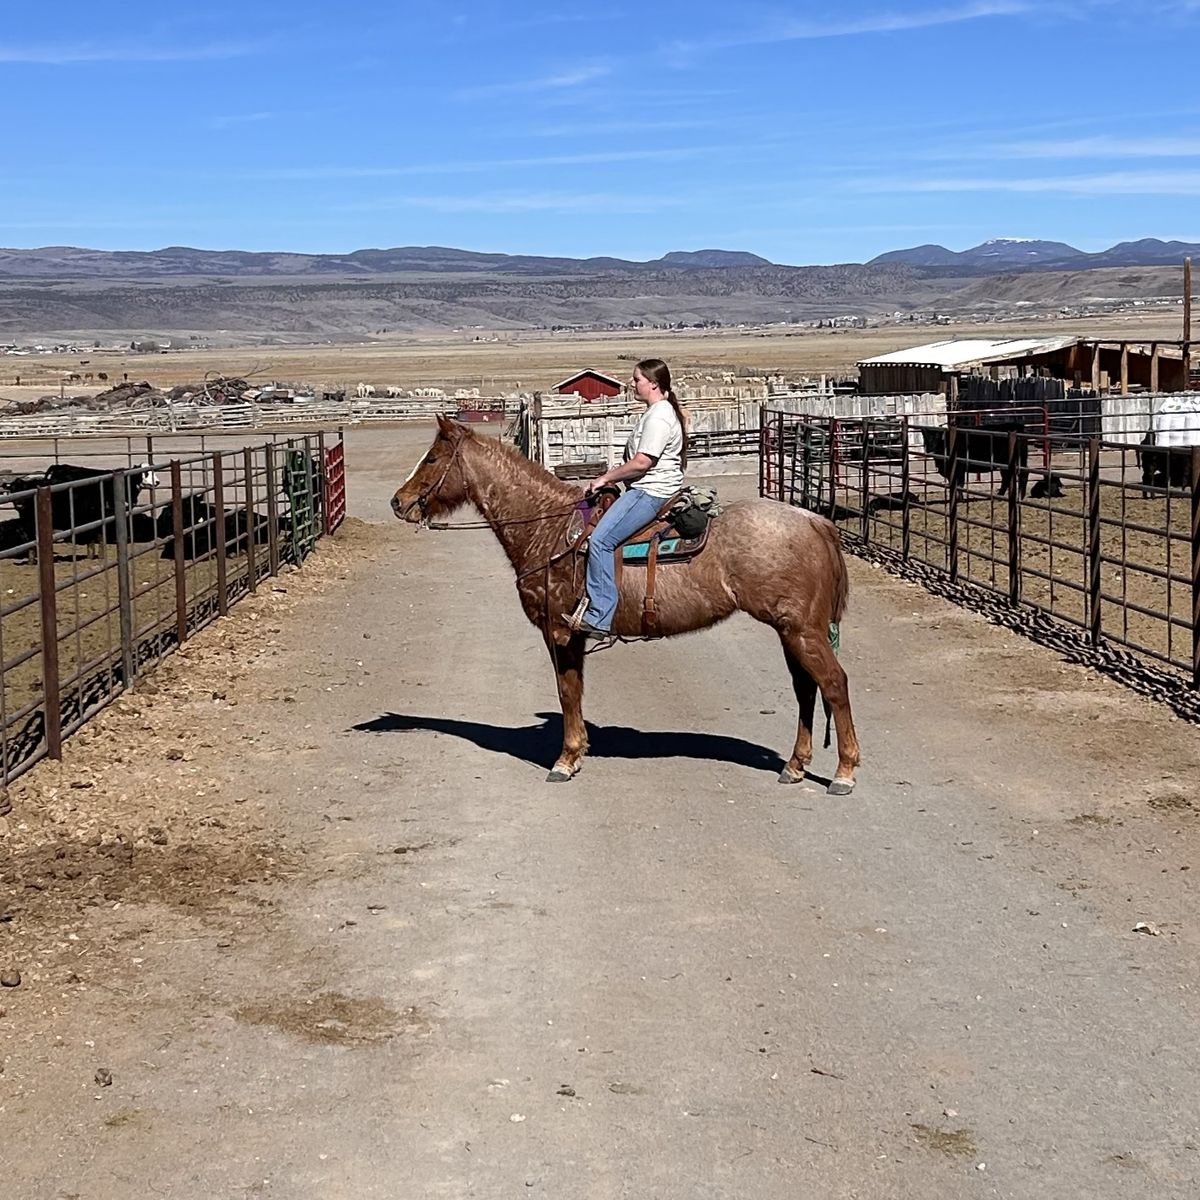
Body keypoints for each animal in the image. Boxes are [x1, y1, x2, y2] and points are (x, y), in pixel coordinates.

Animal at [391, 416, 860, 794]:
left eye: (432, 459)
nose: (398, 502)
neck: (547, 529)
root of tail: (814, 521)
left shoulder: (559, 632)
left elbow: (566, 691)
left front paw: (565, 760)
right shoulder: (574, 636)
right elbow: (575, 691)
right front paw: (578, 752)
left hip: (801, 630)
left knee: (833, 684)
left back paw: (844, 772)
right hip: (792, 630)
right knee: (806, 689)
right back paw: (795, 767)